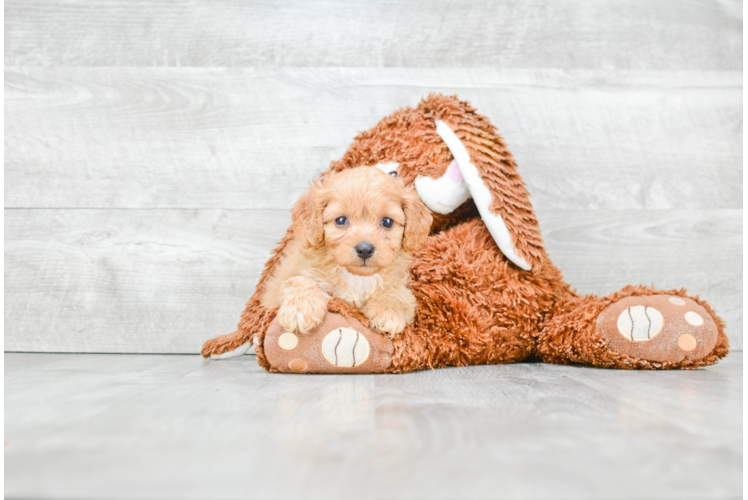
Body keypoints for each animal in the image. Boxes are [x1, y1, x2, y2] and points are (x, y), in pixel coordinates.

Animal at [260, 167, 432, 336]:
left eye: (387, 222)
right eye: (341, 220)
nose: (365, 249)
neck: (357, 277)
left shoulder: (401, 288)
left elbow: (397, 293)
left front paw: (388, 314)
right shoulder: (287, 279)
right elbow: (301, 281)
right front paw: (299, 311)